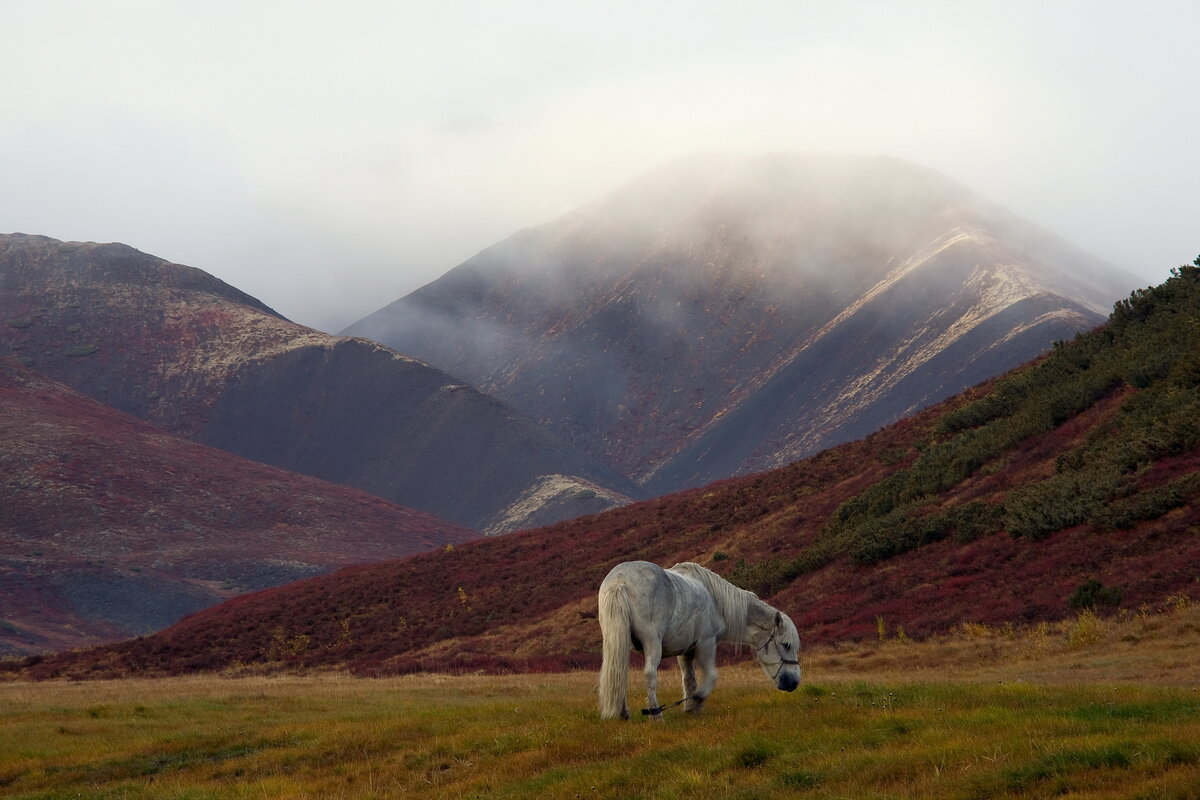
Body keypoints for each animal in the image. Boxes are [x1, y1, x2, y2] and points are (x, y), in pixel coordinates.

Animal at [597, 561, 801, 724]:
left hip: (619, 643)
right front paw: (697, 701)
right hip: (652, 644)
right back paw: (656, 715)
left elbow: (689, 679)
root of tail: (619, 582)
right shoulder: (706, 644)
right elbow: (710, 677)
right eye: (786, 645)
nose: (794, 682)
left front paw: (688, 708)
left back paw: (623, 713)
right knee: (649, 674)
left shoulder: (685, 651)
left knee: (619, 672)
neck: (716, 601)